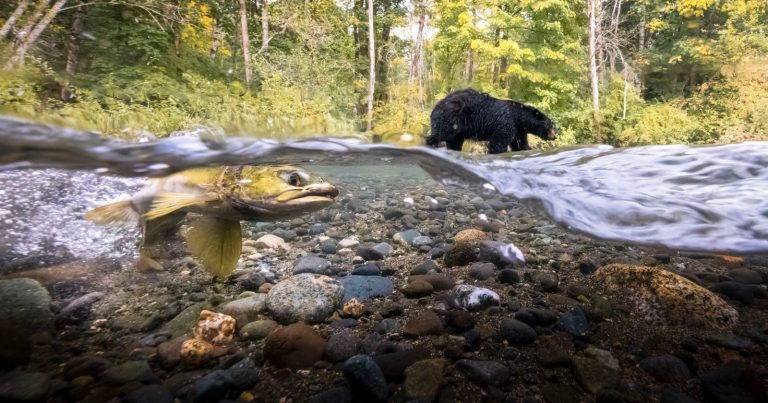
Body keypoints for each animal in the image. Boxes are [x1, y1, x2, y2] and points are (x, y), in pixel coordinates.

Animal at [426, 89, 560, 154]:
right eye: (550, 125)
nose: (554, 136)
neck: (518, 117)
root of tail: (437, 104)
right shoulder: (506, 123)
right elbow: (499, 141)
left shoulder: (519, 129)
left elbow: (519, 142)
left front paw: (526, 148)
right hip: (451, 119)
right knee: (440, 134)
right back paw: (430, 143)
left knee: (454, 141)